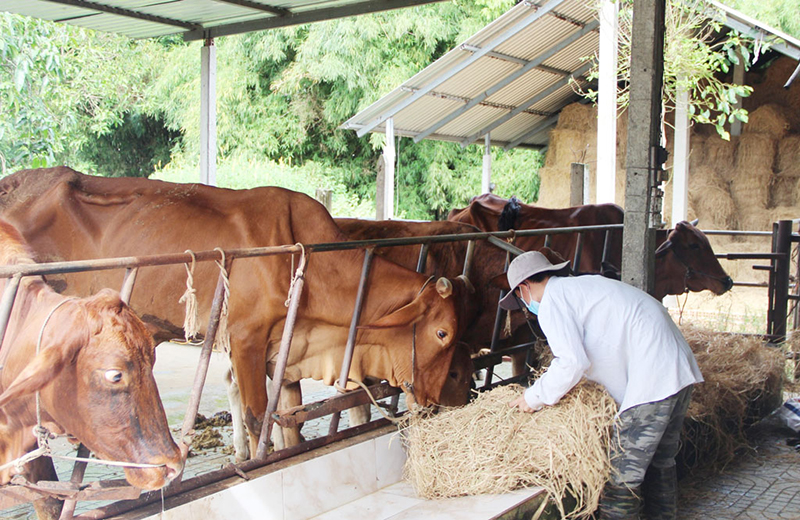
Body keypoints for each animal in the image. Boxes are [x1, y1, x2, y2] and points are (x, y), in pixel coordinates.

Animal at [0, 166, 466, 460]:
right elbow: (261, 416)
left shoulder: (286, 351)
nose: (434, 402)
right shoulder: (245, 338)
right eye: (443, 334)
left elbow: (291, 418)